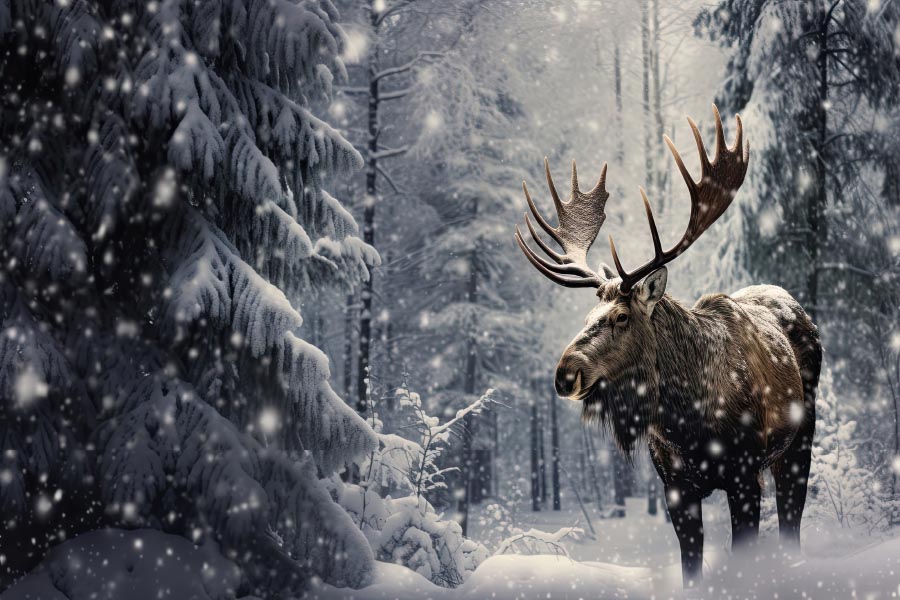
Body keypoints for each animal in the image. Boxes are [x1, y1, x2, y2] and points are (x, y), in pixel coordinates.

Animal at [514, 106, 821, 587]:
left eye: (621, 317)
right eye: (587, 318)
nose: (564, 374)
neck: (686, 420)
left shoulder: (743, 475)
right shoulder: (674, 486)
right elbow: (690, 567)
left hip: (800, 439)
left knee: (793, 520)